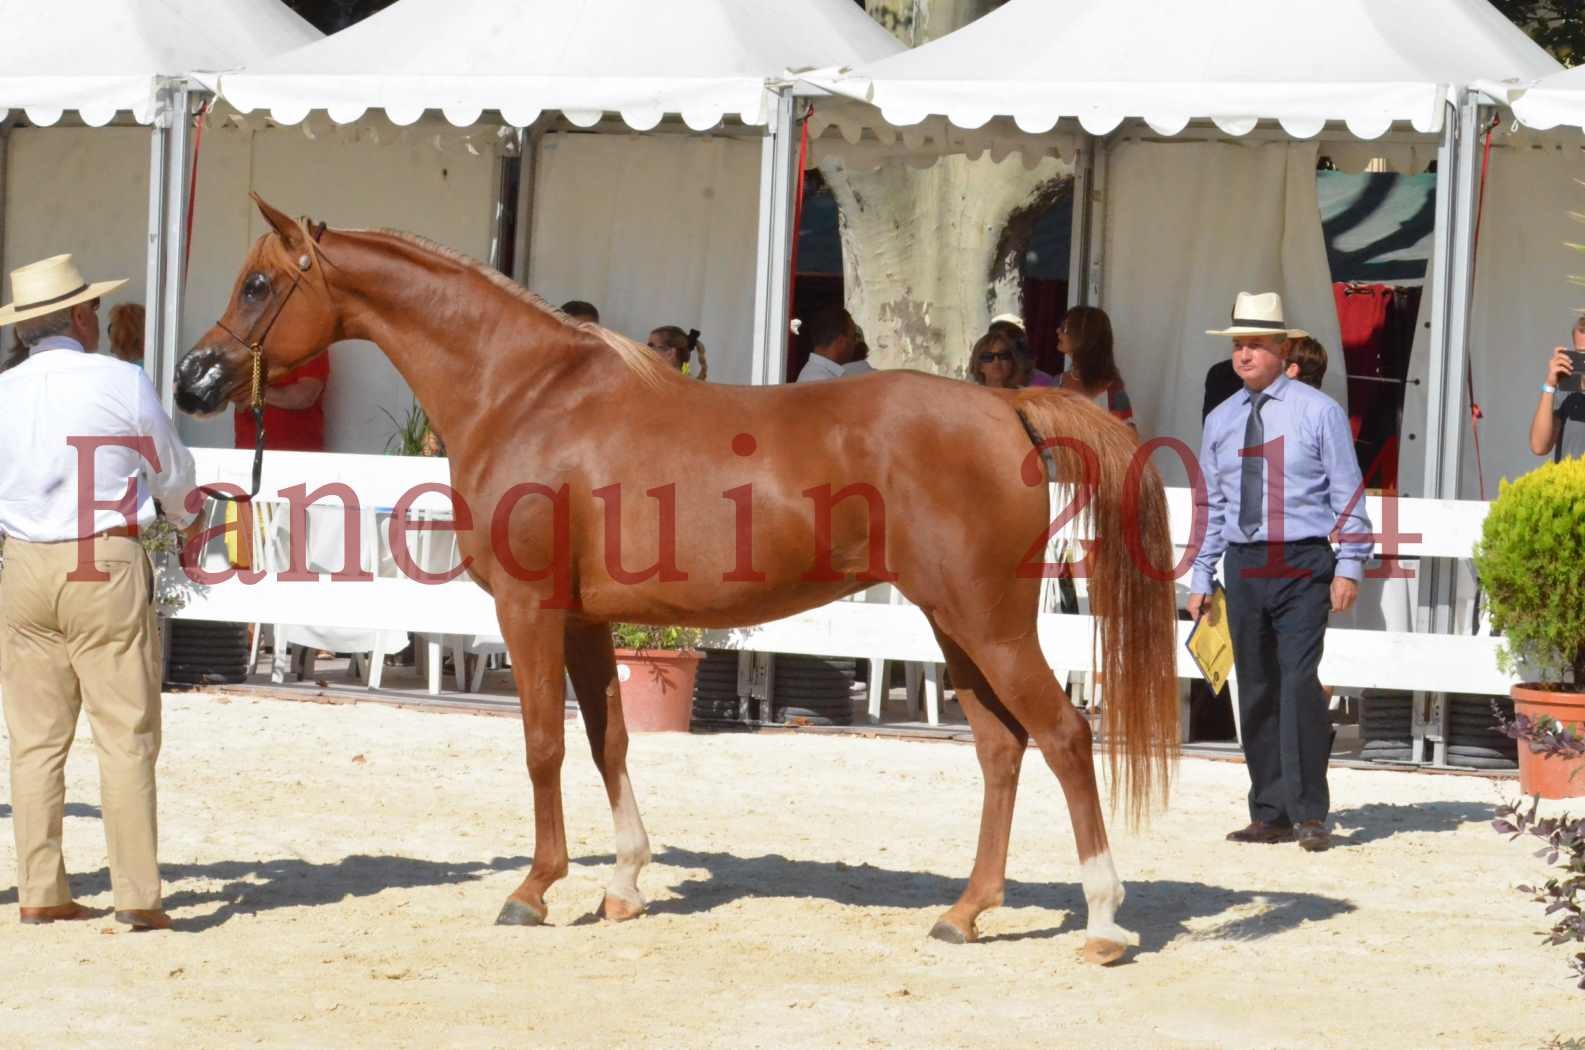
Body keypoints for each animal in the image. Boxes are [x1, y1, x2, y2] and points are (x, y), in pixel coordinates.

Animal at [179, 193, 1185, 964]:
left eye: (259, 283)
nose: (194, 376)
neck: (526, 394)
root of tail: (1004, 408)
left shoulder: (529, 610)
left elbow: (542, 745)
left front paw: (534, 890)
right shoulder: (587, 620)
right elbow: (607, 740)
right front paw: (622, 882)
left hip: (990, 622)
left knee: (1063, 736)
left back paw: (1102, 923)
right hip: (953, 624)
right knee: (1000, 750)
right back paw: (965, 912)